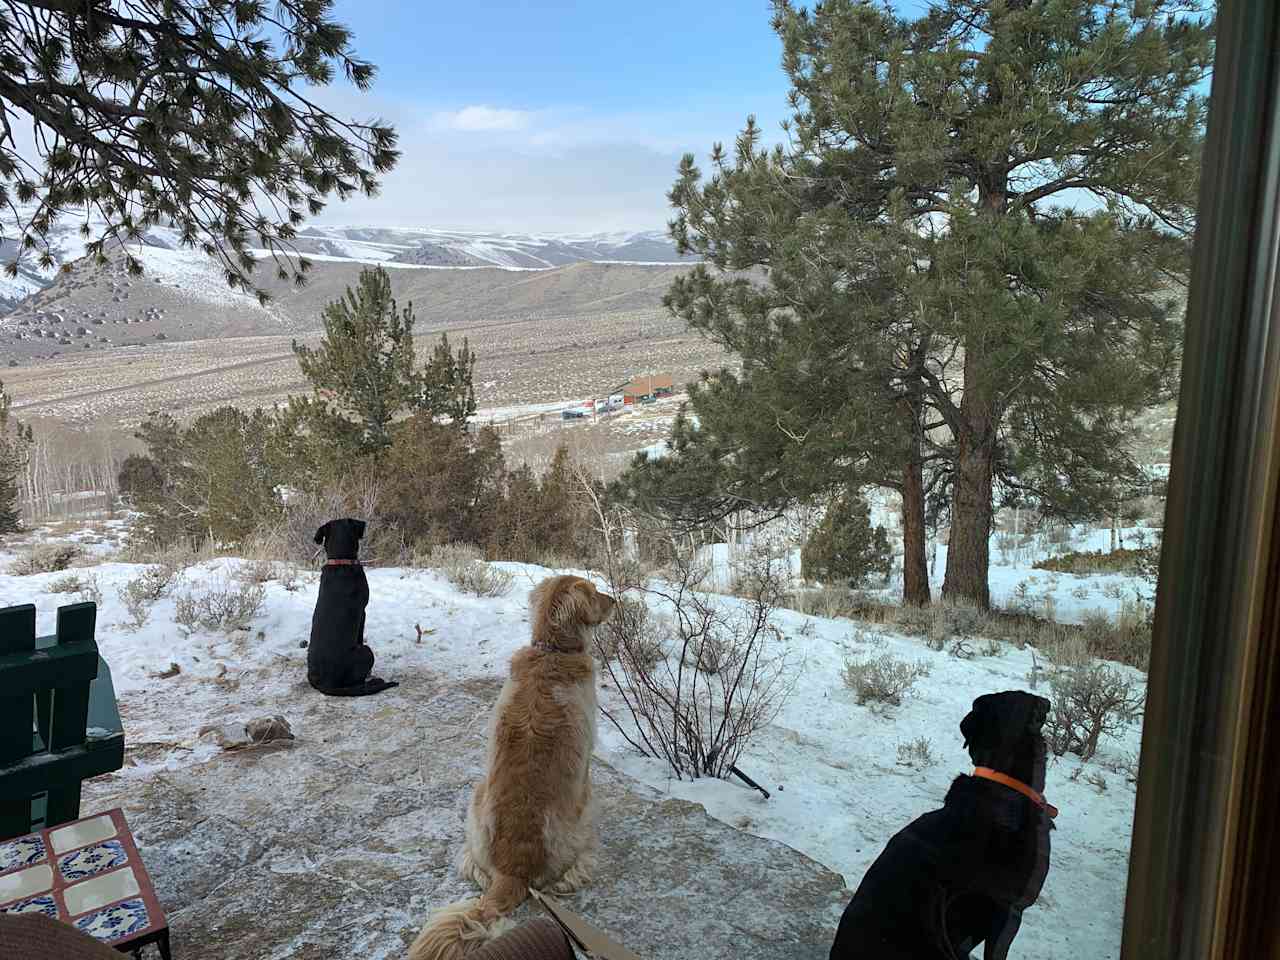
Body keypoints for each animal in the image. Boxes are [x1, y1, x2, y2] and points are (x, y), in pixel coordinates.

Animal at [305, 519, 396, 701]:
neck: (341, 560)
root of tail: (325, 683)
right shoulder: (363, 612)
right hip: (366, 652)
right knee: (357, 683)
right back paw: (374, 681)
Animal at [407, 576, 611, 957]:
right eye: (594, 592)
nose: (615, 601)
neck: (552, 650)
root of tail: (512, 873)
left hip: (476, 799)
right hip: (585, 811)